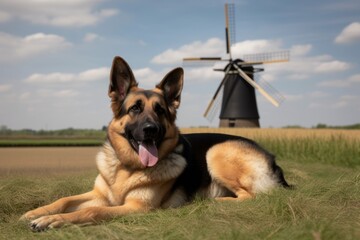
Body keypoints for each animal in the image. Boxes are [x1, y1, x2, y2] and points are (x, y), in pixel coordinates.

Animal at [21, 55, 290, 231]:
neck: (126, 168)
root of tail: (273, 159)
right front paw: (37, 212)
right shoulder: (99, 194)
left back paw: (214, 201)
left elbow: (91, 211)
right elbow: (64, 200)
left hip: (217, 151)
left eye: (160, 110)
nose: (151, 130)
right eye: (135, 109)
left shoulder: (136, 207)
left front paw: (55, 220)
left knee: (253, 195)